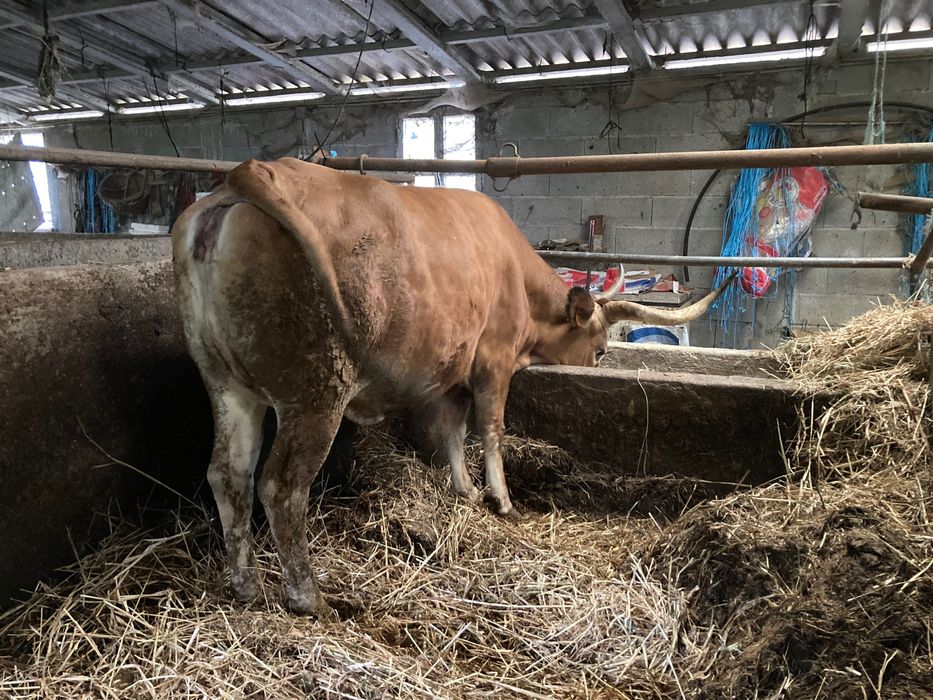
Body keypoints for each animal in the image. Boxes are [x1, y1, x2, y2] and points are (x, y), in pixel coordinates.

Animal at [171, 157, 733, 617]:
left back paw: (245, 587)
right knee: (282, 486)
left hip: (227, 385)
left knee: (229, 474)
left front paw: (462, 490)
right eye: (599, 348)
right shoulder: (494, 361)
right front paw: (501, 500)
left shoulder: (454, 375)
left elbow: (452, 432)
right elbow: (490, 430)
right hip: (315, 392)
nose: (601, 362)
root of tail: (247, 174)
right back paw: (310, 598)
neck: (513, 271)